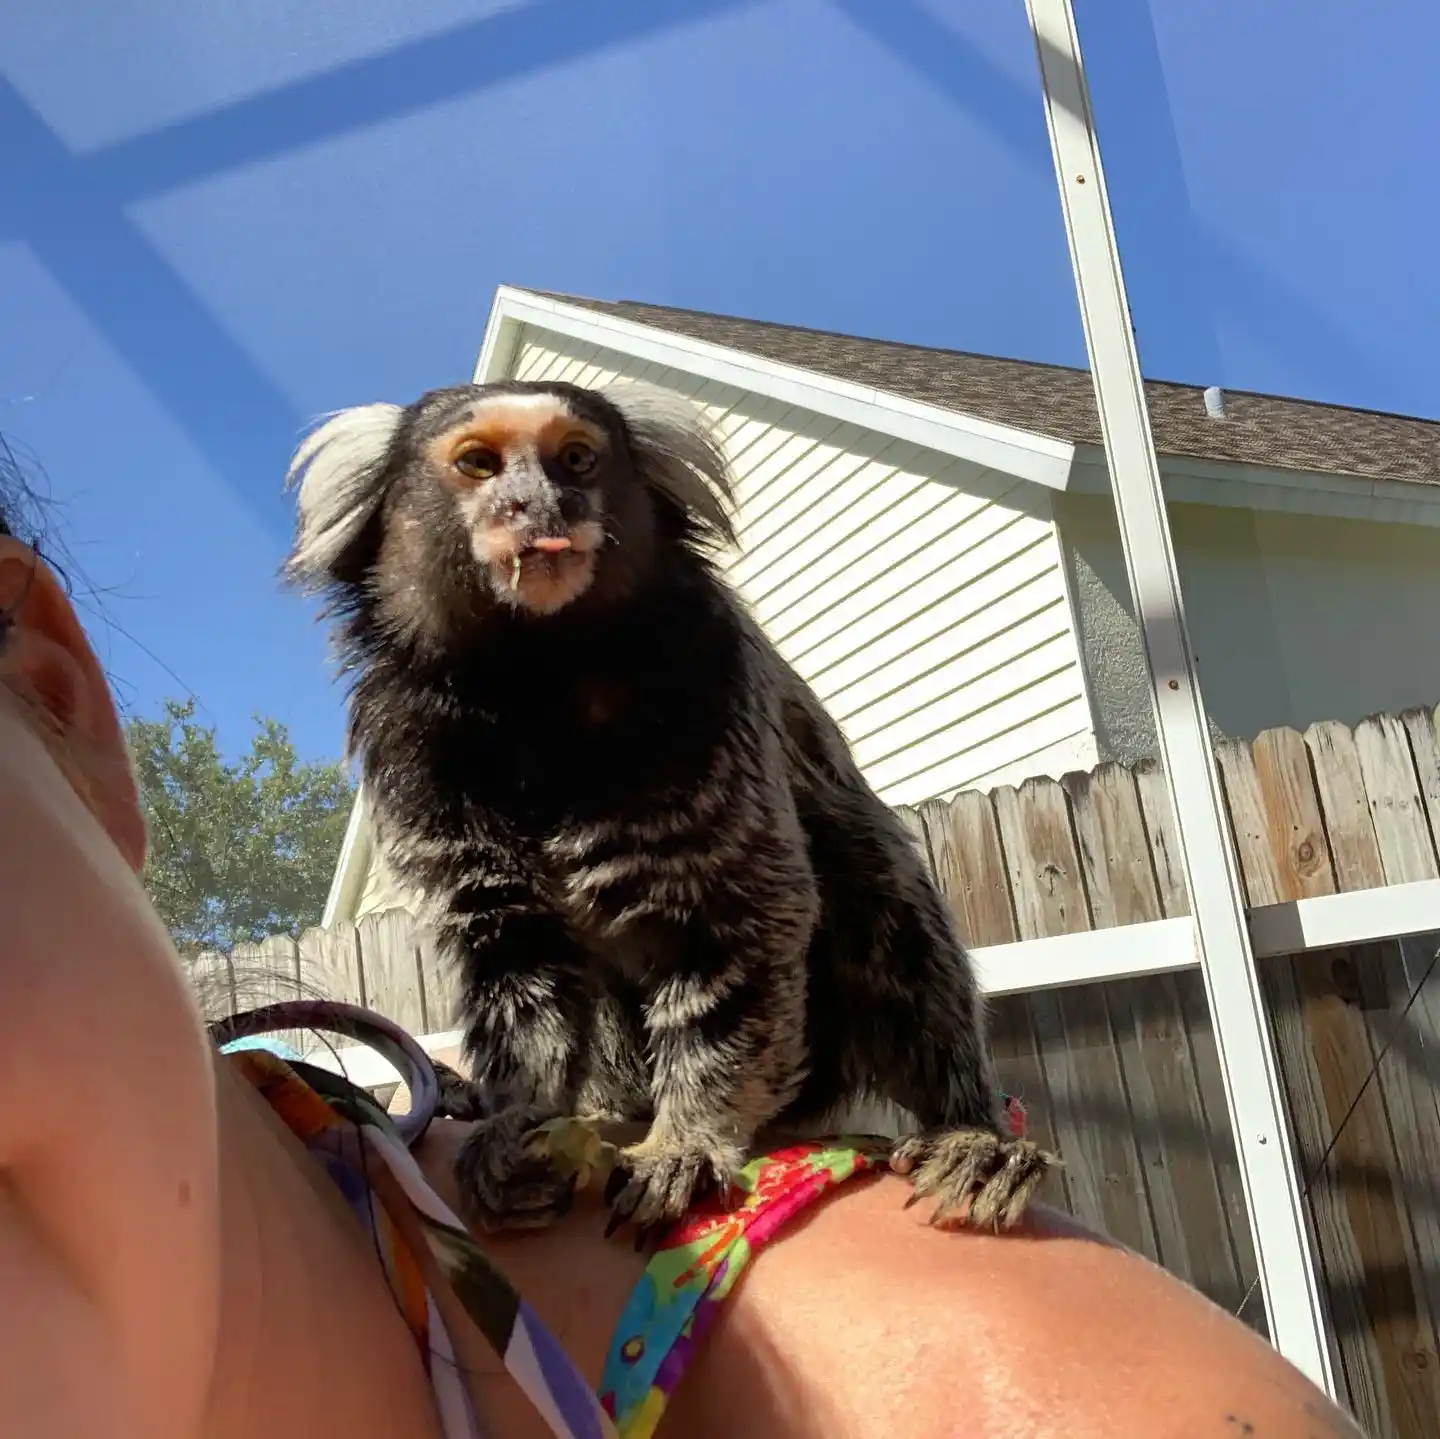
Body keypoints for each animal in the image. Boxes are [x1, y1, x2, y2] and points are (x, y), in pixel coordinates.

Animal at [283, 377, 1054, 1236]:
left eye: (576, 460)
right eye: (480, 464)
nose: (538, 505)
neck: (534, 683)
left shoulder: (711, 683)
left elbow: (738, 926)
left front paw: (685, 1141)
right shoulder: (415, 746)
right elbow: (518, 959)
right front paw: (519, 1117)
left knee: (881, 895)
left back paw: (974, 1133)